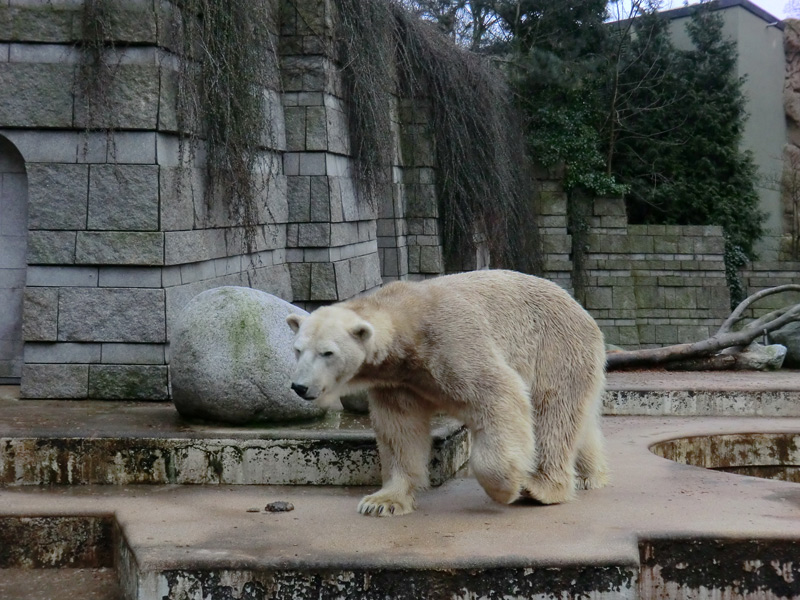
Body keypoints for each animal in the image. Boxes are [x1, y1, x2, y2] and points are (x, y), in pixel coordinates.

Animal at [290, 270, 608, 512]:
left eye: (327, 352)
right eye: (297, 349)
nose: (299, 386)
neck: (408, 324)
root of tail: (581, 310)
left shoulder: (451, 343)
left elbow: (500, 394)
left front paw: (505, 488)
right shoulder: (397, 380)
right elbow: (399, 430)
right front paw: (382, 501)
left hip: (555, 349)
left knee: (553, 414)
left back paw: (541, 486)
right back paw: (590, 475)